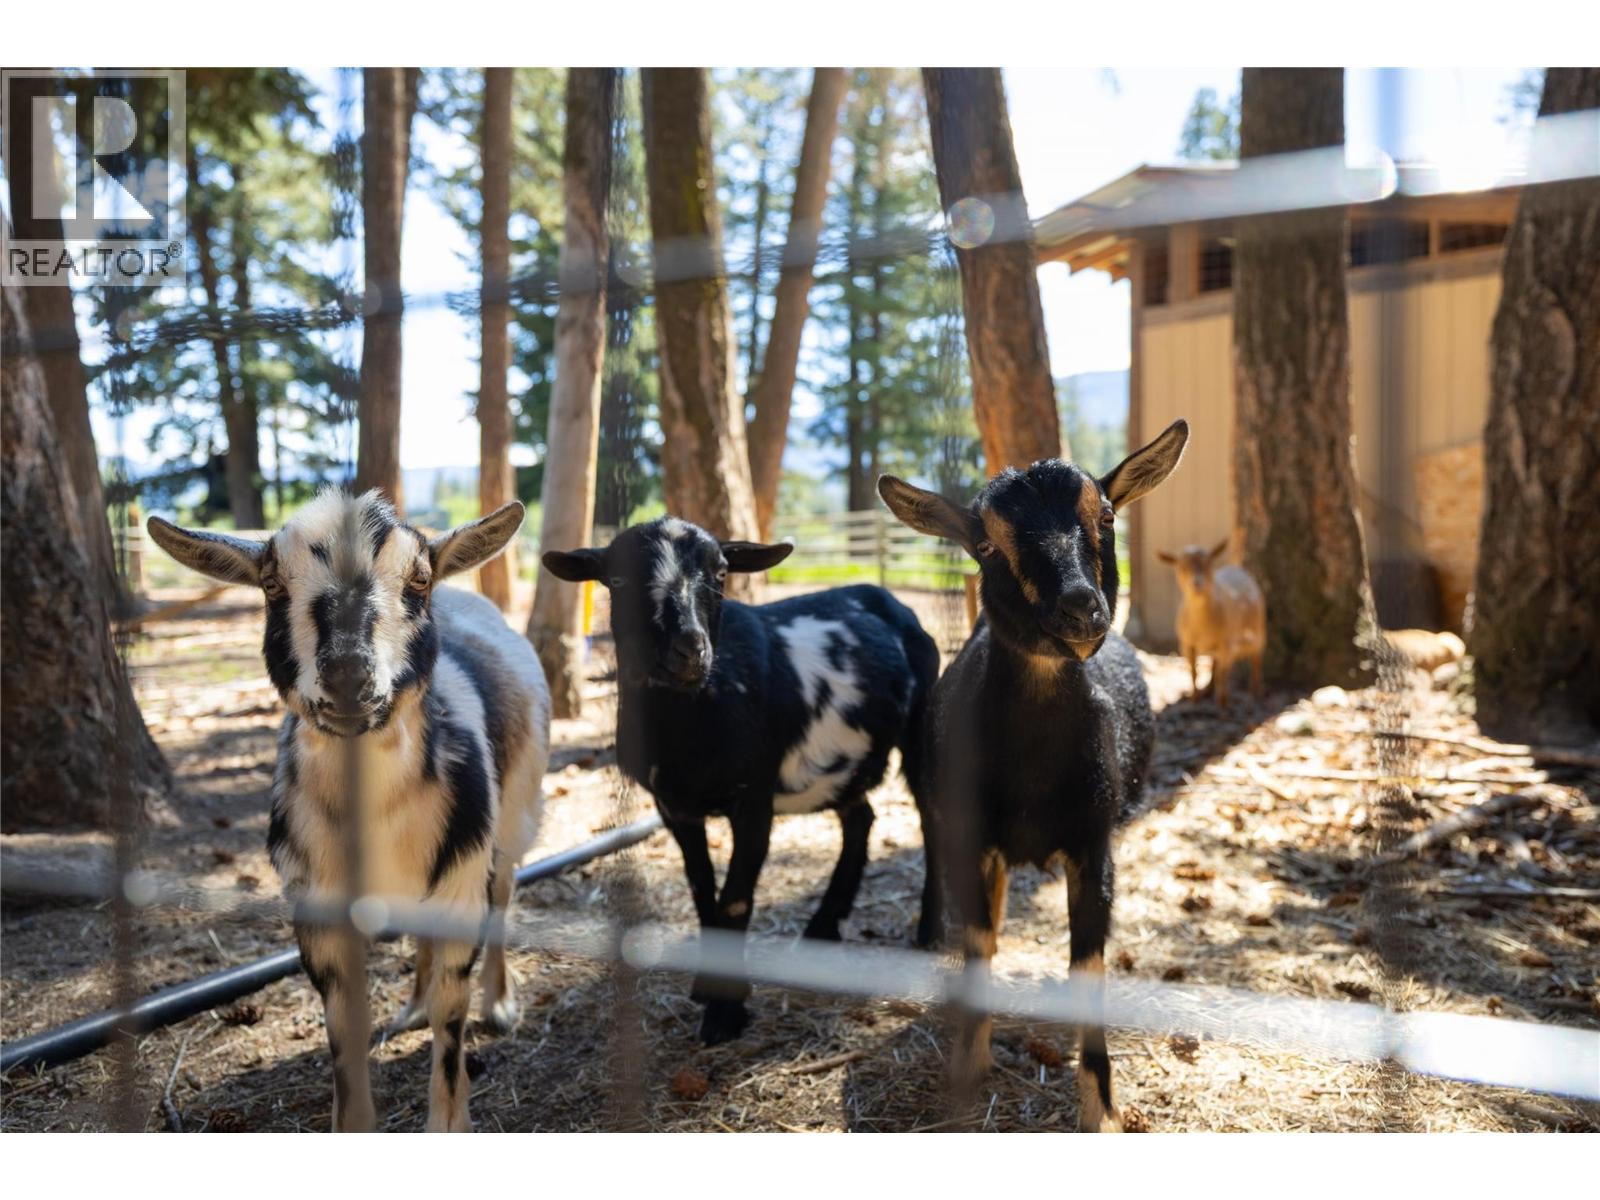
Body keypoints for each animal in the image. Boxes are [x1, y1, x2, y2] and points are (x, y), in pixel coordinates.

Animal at [148, 491, 550, 1132]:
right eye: (271, 584)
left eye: (419, 578)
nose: (346, 675)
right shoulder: (319, 912)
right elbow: (345, 1030)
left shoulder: (462, 884)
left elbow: (451, 1024)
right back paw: (411, 1007)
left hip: (516, 813)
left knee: (505, 893)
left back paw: (501, 1004)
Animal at [543, 517, 938, 1044]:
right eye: (618, 579)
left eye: (721, 572)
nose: (689, 650)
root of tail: (888, 599)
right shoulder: (673, 807)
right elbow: (701, 890)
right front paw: (707, 987)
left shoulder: (754, 800)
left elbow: (734, 900)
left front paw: (725, 1013)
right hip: (846, 766)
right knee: (861, 817)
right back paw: (822, 928)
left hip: (922, 723)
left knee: (936, 818)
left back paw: (929, 933)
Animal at [879, 419, 1189, 1132]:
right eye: (986, 543)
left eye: (1106, 516)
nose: (1081, 609)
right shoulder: (971, 837)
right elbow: (978, 943)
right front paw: (966, 1075)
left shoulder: (1093, 847)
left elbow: (1087, 967)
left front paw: (1101, 1110)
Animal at [1157, 541, 1266, 709]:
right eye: (1181, 567)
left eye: (1208, 563)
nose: (1197, 583)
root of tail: (1236, 568)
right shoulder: (1186, 644)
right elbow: (1193, 672)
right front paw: (1194, 700)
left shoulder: (1227, 645)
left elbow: (1223, 674)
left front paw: (1223, 707)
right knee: (1215, 664)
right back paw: (1208, 691)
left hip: (1258, 629)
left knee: (1256, 660)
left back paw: (1255, 693)